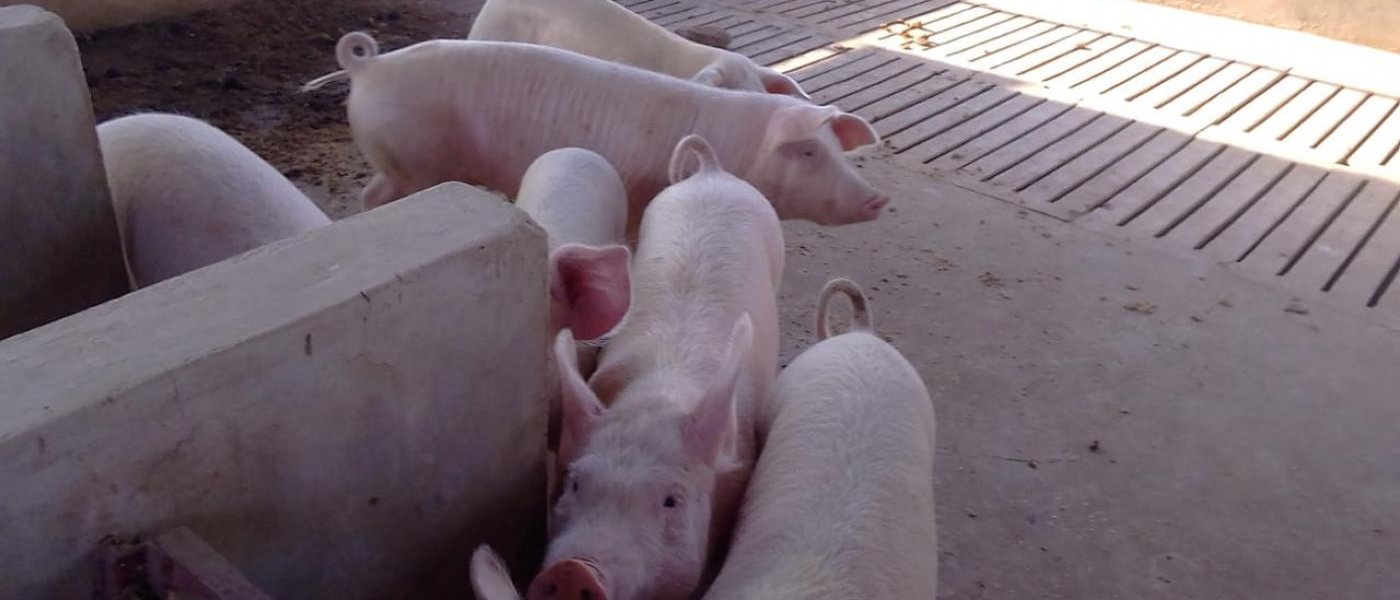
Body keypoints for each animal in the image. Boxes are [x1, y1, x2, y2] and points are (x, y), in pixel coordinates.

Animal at [301, 33, 887, 235]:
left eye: (835, 149)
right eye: (807, 151)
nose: (877, 198)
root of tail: (369, 66)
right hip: (412, 161)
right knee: (372, 194)